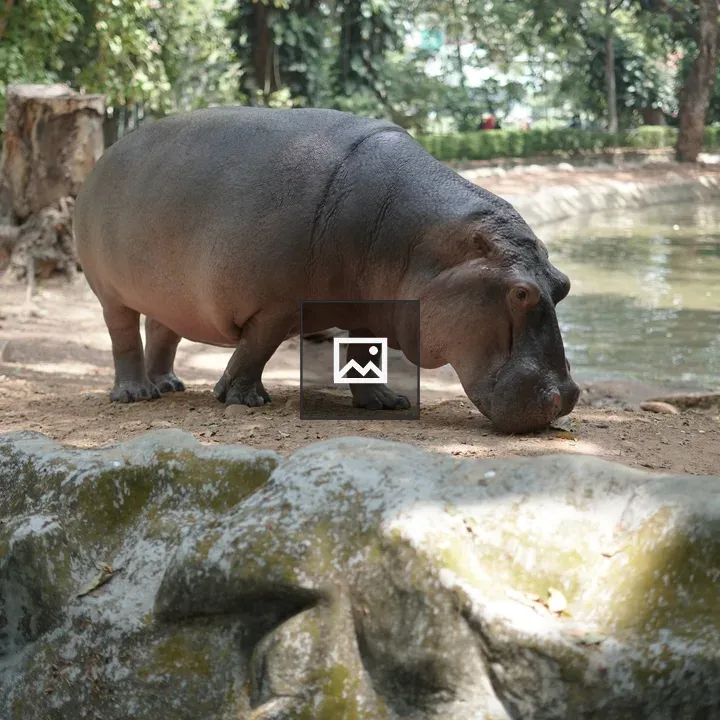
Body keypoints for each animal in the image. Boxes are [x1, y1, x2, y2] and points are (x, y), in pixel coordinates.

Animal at [73, 106, 579, 433]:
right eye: (520, 293)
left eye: (563, 284)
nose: (568, 397)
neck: (419, 239)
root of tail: (103, 158)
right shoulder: (275, 305)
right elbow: (255, 349)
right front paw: (244, 399)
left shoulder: (367, 308)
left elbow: (363, 354)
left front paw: (385, 403)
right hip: (110, 292)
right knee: (124, 337)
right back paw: (136, 394)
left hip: (168, 294)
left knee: (162, 330)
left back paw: (170, 385)